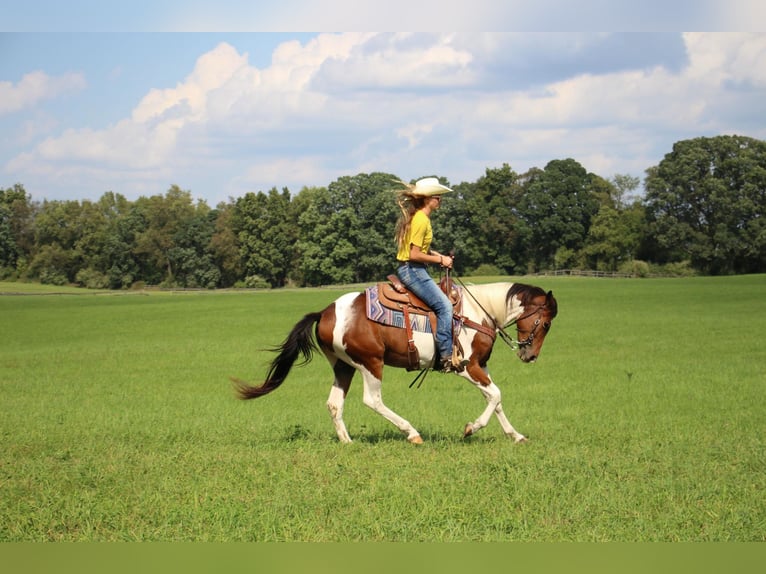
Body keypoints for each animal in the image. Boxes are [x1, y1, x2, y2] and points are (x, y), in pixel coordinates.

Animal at [234, 280, 560, 446]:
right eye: (545, 323)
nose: (530, 355)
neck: (477, 312)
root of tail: (325, 313)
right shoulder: (467, 366)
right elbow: (495, 395)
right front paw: (470, 428)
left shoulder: (481, 366)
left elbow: (496, 399)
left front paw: (515, 435)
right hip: (370, 363)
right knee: (372, 400)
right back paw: (411, 433)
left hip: (344, 366)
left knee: (334, 404)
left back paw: (347, 441)